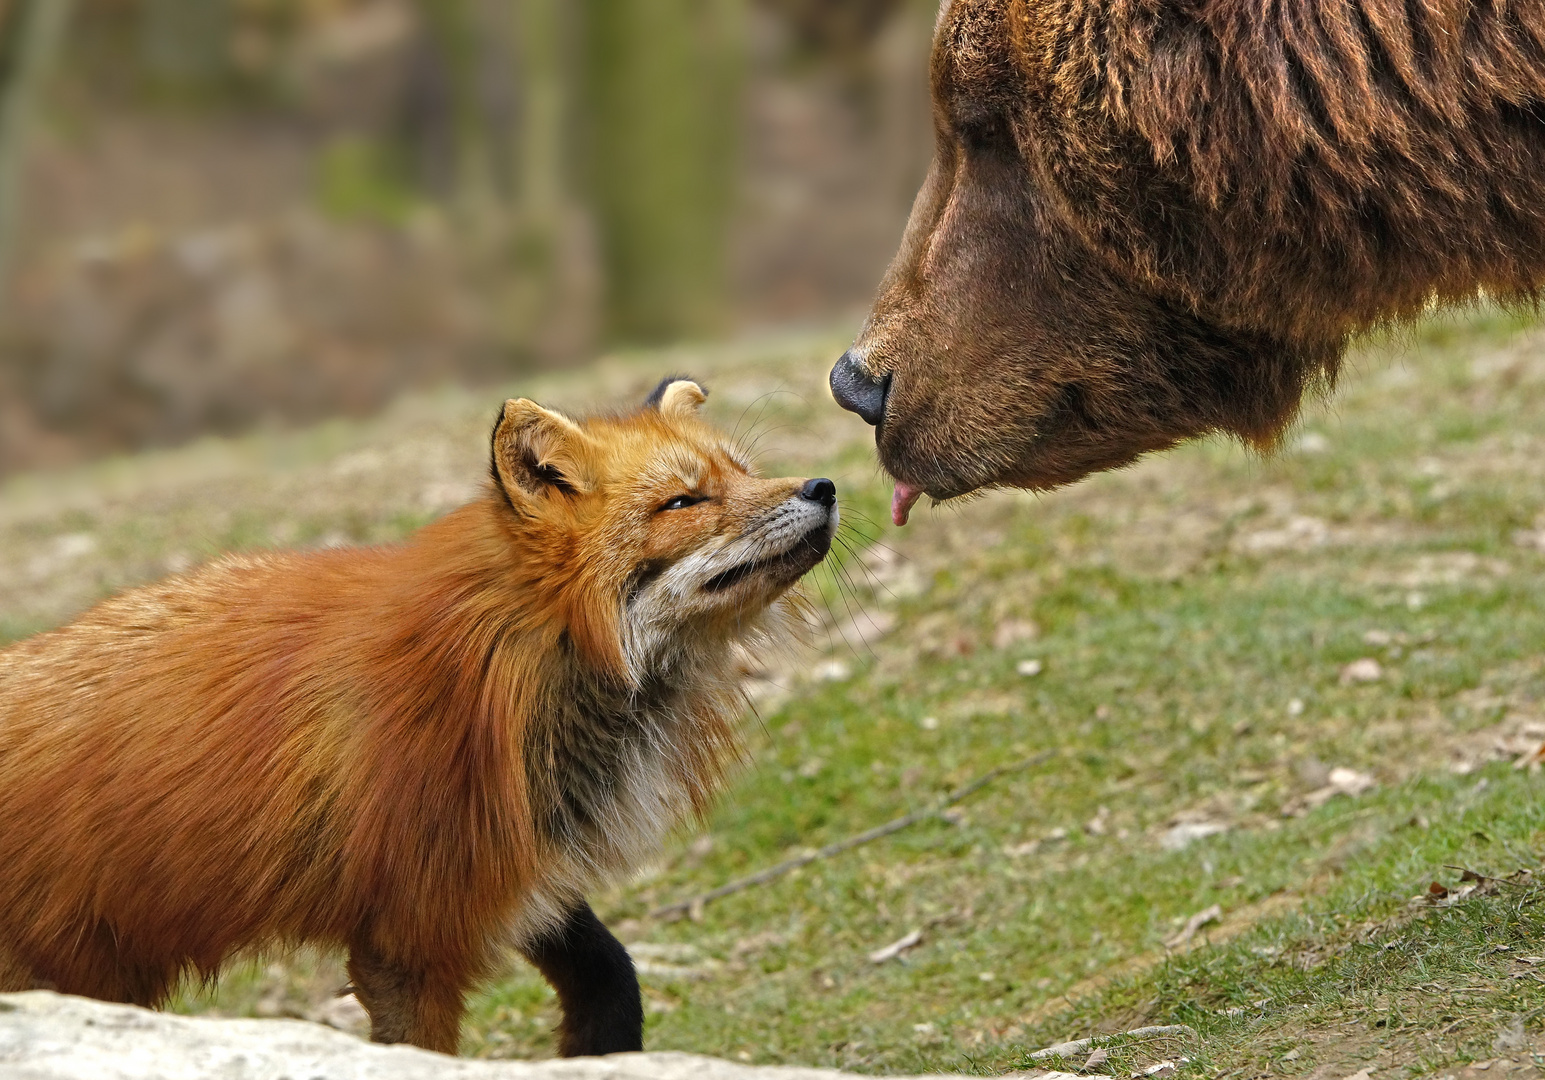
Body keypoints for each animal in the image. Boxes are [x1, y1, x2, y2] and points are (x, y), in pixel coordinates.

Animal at [0, 378, 834, 1056]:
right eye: (683, 503)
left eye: (743, 471)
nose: (824, 486)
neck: (517, 659)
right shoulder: (406, 937)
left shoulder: (508, 867)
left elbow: (610, 974)